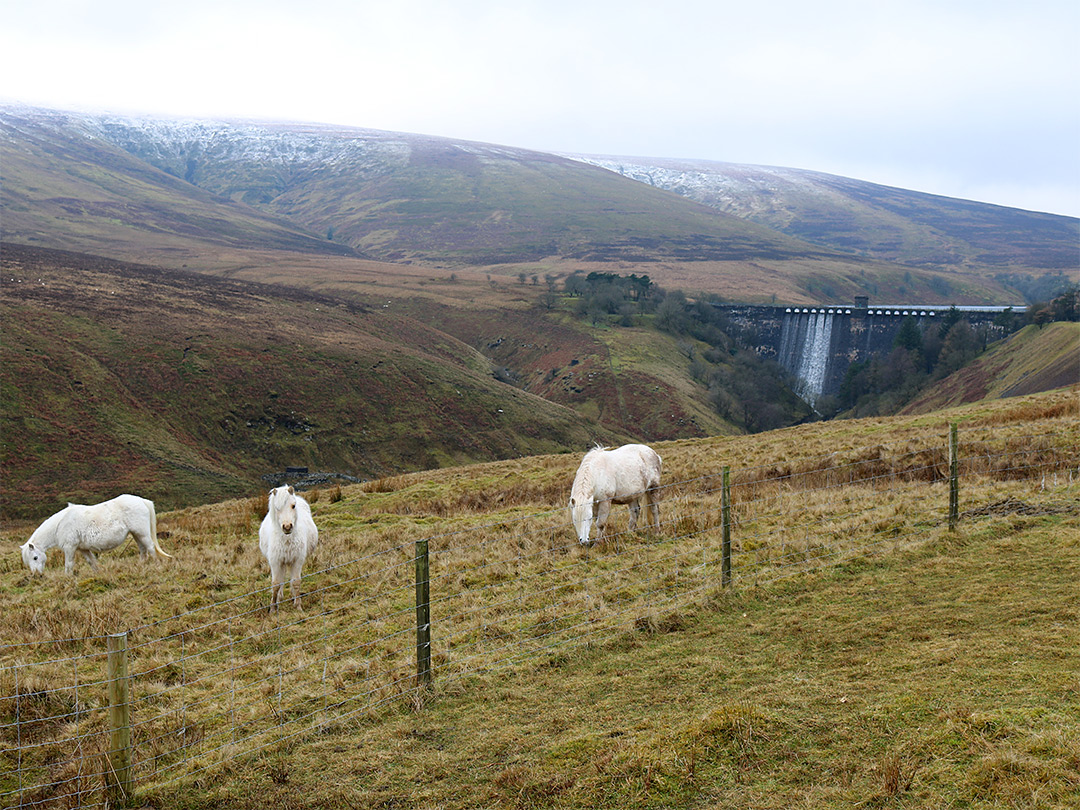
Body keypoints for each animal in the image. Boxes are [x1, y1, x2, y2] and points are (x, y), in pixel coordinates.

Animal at [19, 494, 172, 578]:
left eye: (35, 557)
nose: (37, 575)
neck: (60, 524)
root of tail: (142, 501)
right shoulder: (83, 549)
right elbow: (92, 562)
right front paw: (99, 574)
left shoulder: (70, 548)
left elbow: (68, 564)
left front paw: (67, 578)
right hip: (136, 534)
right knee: (143, 549)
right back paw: (141, 565)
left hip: (142, 532)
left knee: (150, 547)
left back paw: (157, 565)